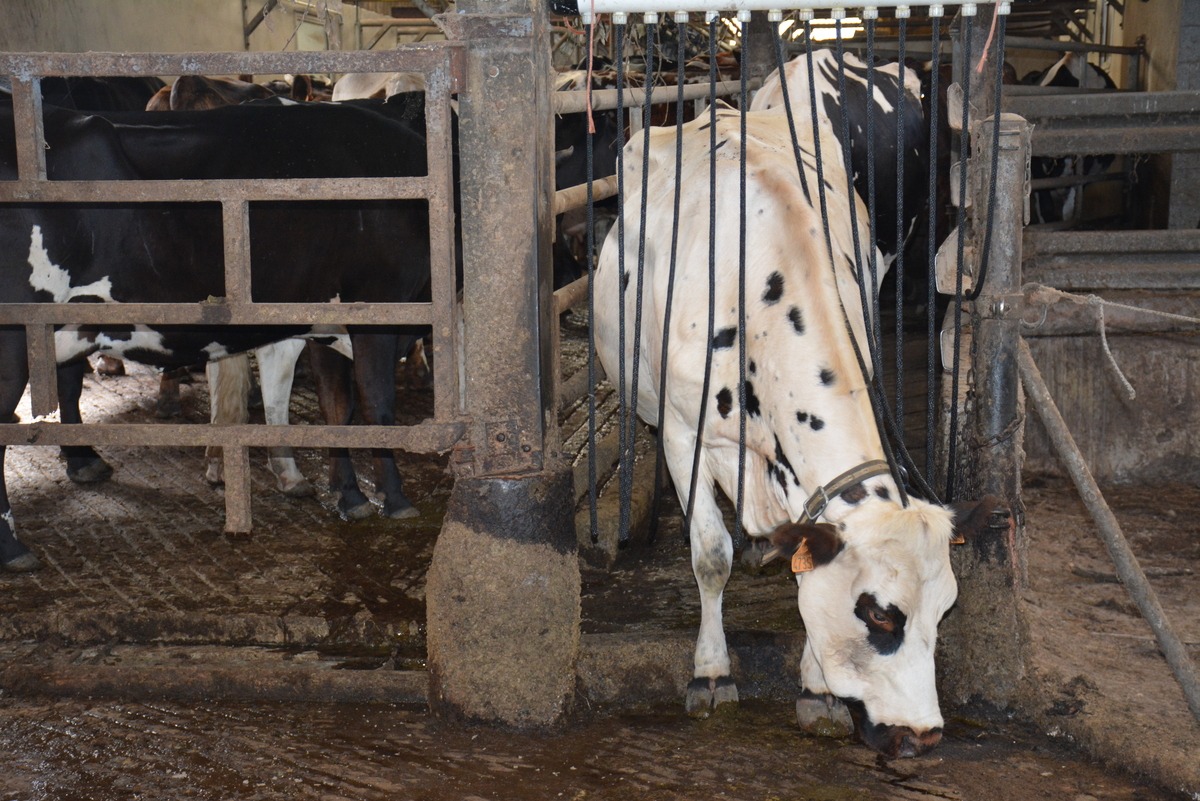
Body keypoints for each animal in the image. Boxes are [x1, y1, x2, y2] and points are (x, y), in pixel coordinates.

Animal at [0, 96, 439, 573]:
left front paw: (346, 494)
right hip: (15, 341)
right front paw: (395, 499)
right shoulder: (377, 307)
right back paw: (14, 547)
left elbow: (335, 407)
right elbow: (377, 404)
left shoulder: (323, 320)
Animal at [592, 107, 971, 758]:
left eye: (944, 611)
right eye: (880, 615)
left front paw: (817, 689)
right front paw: (711, 673)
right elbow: (709, 554)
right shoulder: (682, 432)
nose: (922, 737)